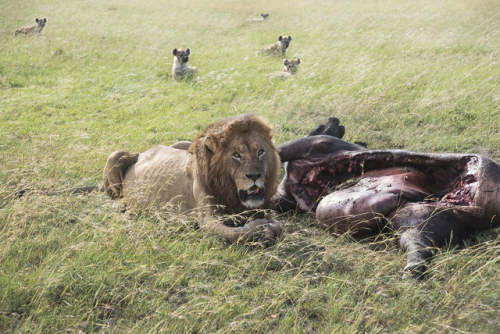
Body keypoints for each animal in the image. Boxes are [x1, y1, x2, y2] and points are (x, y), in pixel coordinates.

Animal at [102, 114, 282, 243]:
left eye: (260, 152)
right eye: (236, 155)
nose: (254, 176)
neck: (229, 189)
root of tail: (143, 152)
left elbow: (273, 223)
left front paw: (269, 225)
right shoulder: (207, 221)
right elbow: (238, 234)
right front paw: (261, 228)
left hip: (181, 144)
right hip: (115, 155)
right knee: (116, 197)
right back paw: (122, 208)